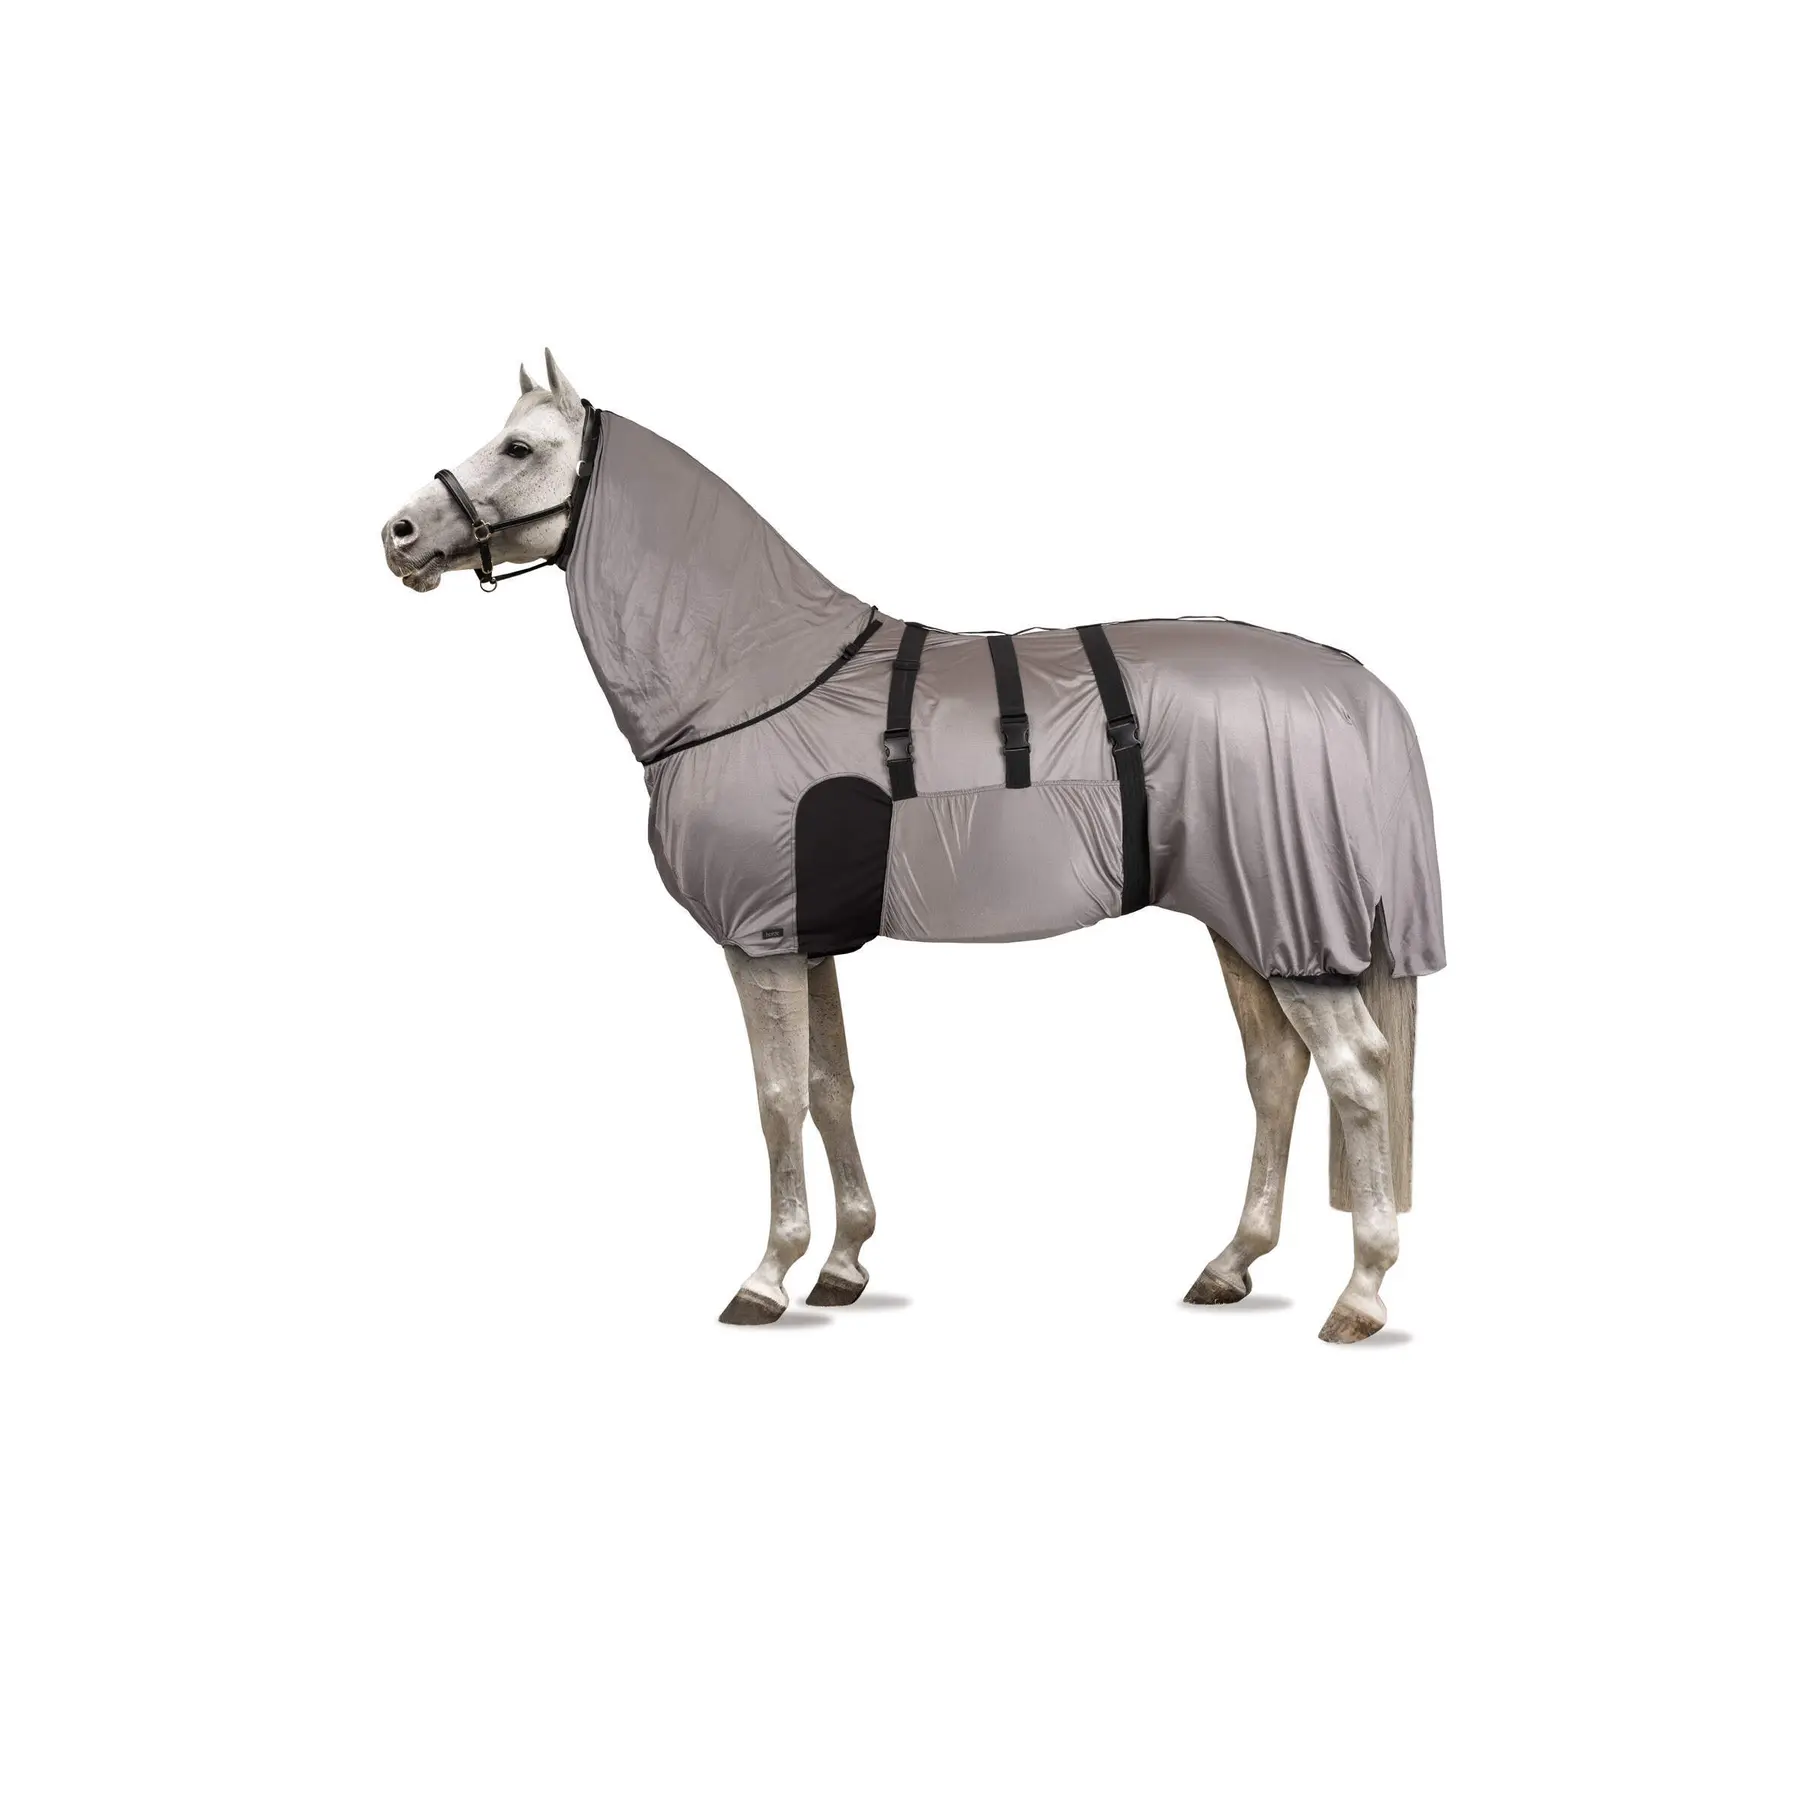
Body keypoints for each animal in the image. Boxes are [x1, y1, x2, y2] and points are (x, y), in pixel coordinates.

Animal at [381, 352, 1445, 1343]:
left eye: (520, 448)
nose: (398, 535)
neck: (750, 678)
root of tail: (1350, 686)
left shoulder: (757, 941)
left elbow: (777, 1097)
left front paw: (767, 1276)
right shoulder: (804, 941)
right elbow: (829, 1088)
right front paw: (842, 1263)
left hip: (1290, 924)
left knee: (1356, 1075)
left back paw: (1359, 1294)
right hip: (1247, 923)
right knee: (1275, 1073)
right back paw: (1232, 1264)